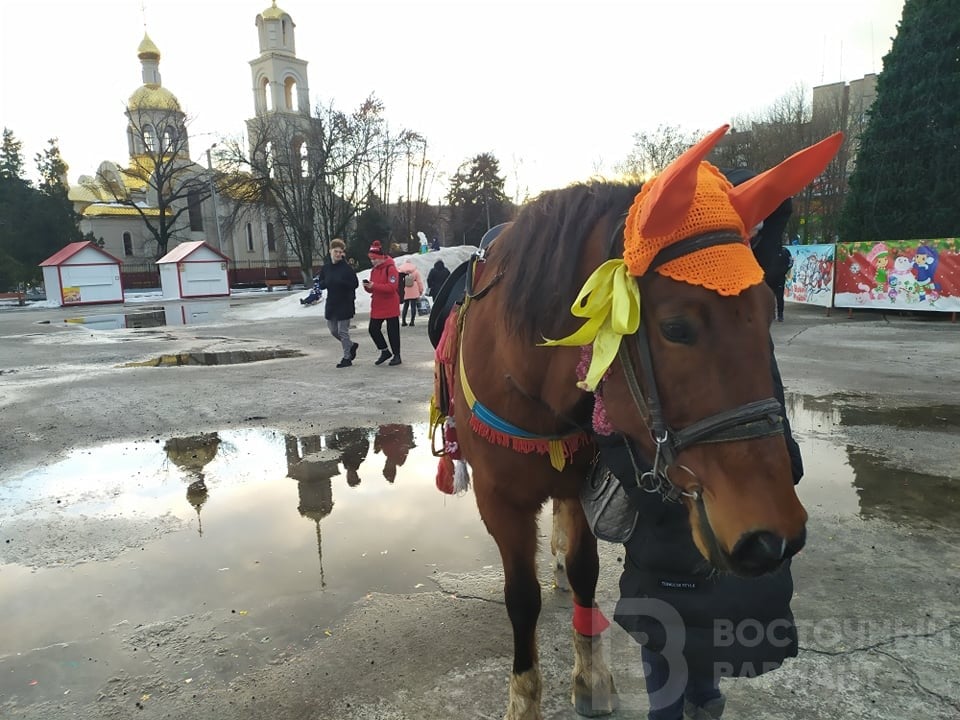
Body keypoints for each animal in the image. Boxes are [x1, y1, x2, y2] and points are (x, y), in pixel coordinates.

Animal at [432, 126, 844, 716]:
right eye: (675, 327)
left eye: (768, 310)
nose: (774, 536)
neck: (521, 373)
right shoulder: (499, 499)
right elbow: (521, 599)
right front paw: (524, 698)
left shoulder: (581, 477)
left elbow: (586, 570)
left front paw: (590, 675)